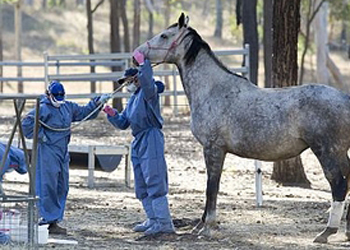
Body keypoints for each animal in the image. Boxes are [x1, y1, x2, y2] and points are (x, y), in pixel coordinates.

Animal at [135, 12, 350, 243]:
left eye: (164, 36)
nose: (136, 55)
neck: (213, 90)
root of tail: (345, 99)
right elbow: (211, 186)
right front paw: (201, 225)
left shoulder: (213, 149)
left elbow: (212, 187)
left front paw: (207, 227)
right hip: (339, 152)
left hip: (327, 151)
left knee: (338, 185)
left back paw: (326, 232)